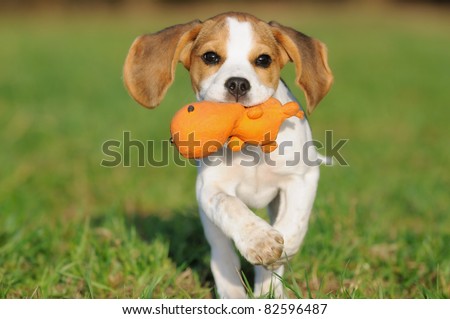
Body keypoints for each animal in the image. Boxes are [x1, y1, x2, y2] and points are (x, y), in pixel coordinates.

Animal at [125, 11, 332, 298]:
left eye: (263, 60)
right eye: (211, 57)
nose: (237, 84)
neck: (246, 144)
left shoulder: (302, 177)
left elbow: (294, 222)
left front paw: (280, 254)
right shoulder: (209, 188)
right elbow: (231, 206)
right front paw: (259, 240)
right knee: (222, 256)